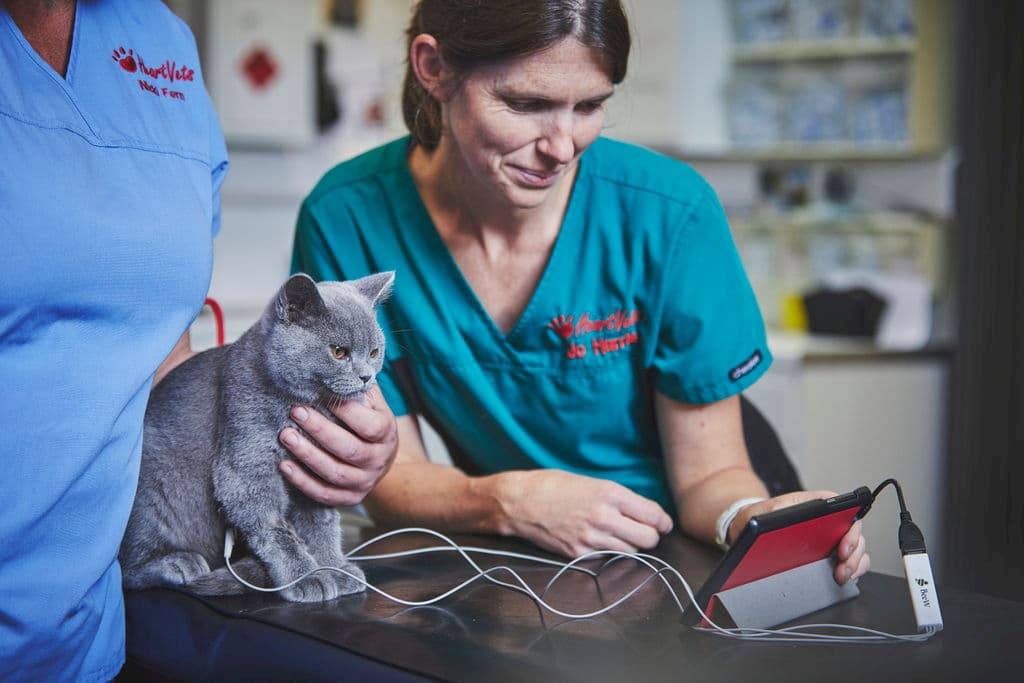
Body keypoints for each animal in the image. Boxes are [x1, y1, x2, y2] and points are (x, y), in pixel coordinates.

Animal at [118, 274, 391, 602]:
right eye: (339, 352)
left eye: (374, 352)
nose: (366, 377)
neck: (313, 405)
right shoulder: (246, 465)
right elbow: (276, 528)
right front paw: (307, 577)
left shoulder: (316, 473)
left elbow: (322, 523)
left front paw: (334, 567)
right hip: (149, 491)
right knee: (127, 570)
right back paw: (177, 563)